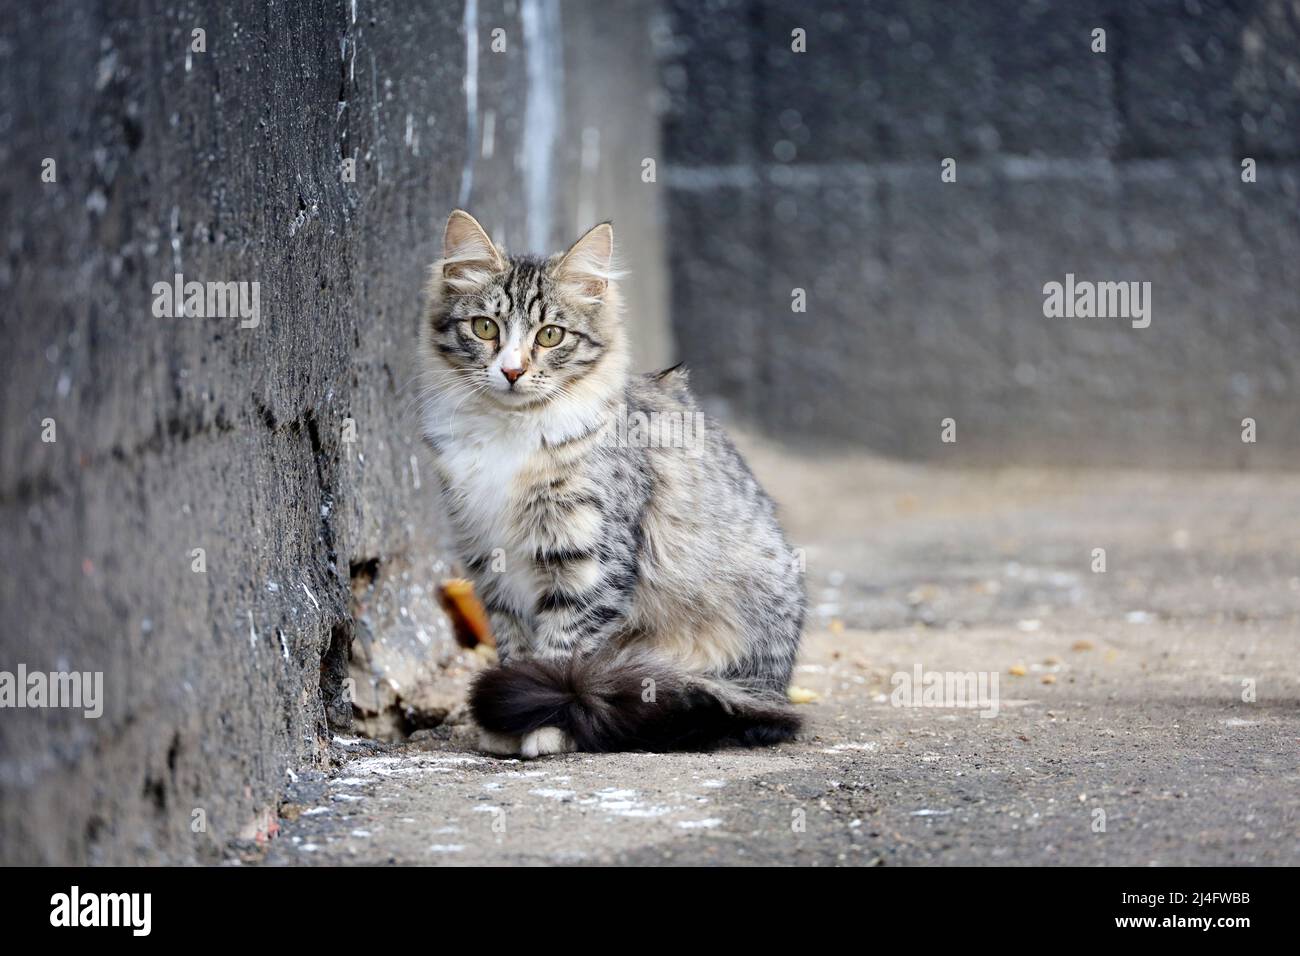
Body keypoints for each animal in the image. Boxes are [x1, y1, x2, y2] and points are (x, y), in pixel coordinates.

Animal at [418, 213, 800, 759]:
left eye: (551, 335)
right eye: (485, 328)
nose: (512, 371)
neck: (509, 435)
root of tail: (777, 689)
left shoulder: (588, 560)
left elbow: (562, 655)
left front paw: (546, 728)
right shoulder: (489, 560)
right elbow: (516, 646)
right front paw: (506, 726)